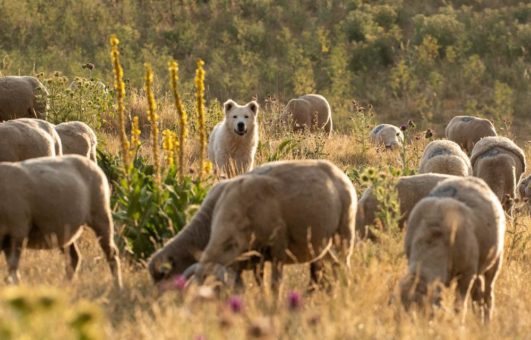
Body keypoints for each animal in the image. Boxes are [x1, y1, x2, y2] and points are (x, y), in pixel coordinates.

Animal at [0, 155, 122, 288]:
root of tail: (91, 163)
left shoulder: (17, 232)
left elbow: (13, 269)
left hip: (100, 214)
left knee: (111, 253)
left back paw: (117, 285)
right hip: (64, 230)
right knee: (74, 257)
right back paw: (66, 285)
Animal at [182, 159, 358, 292]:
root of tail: (339, 172)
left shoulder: (277, 248)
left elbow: (275, 285)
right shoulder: (255, 257)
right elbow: (259, 282)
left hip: (344, 232)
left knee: (344, 265)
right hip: (321, 243)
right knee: (331, 266)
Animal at [402, 175, 504, 322]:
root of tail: (470, 178)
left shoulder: (467, 274)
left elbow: (459, 305)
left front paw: (459, 323)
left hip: (495, 261)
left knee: (488, 294)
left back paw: (486, 320)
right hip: (478, 266)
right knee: (478, 293)